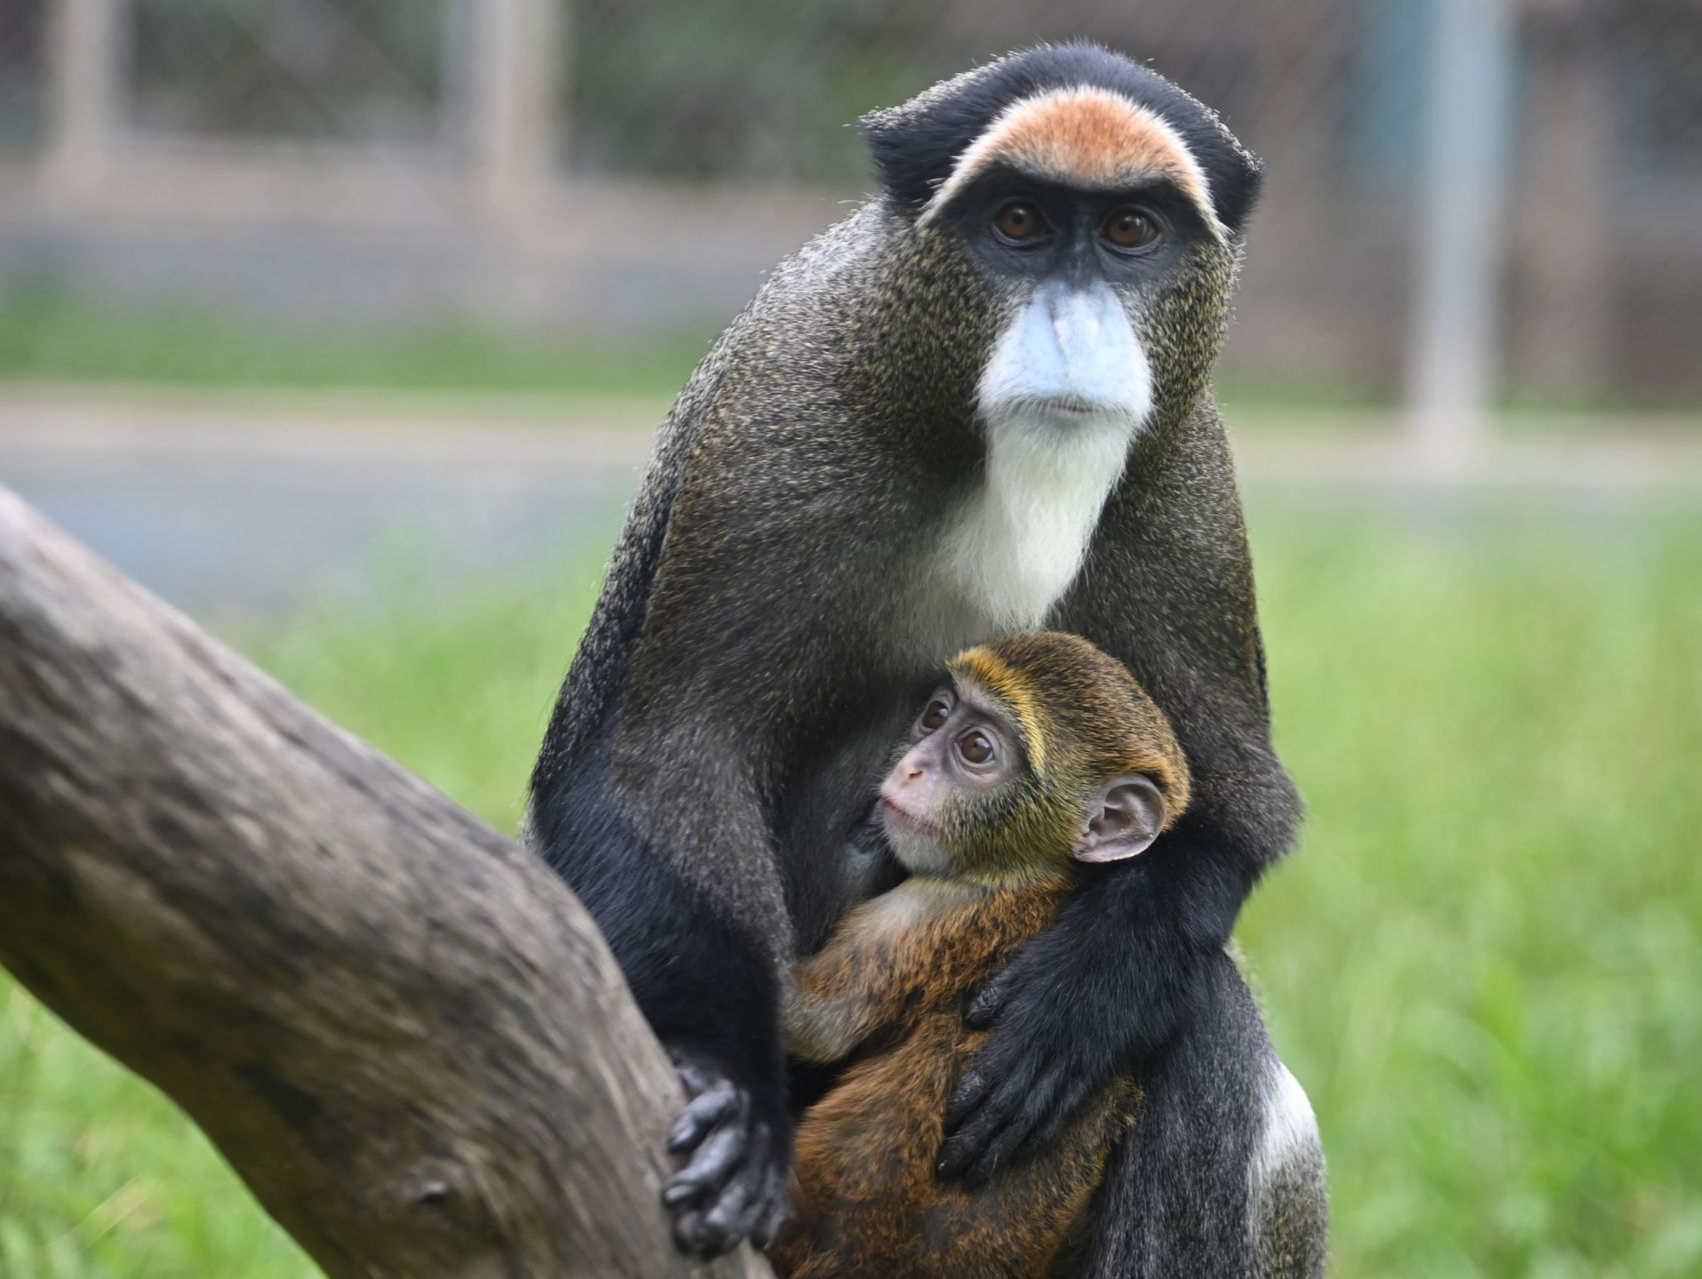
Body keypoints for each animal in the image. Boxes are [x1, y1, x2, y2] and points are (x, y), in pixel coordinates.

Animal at [769, 633, 1184, 1279]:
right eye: (936, 714)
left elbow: (812, 1024)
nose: (910, 767)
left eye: (976, 749)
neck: (1037, 872)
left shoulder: (928, 911)